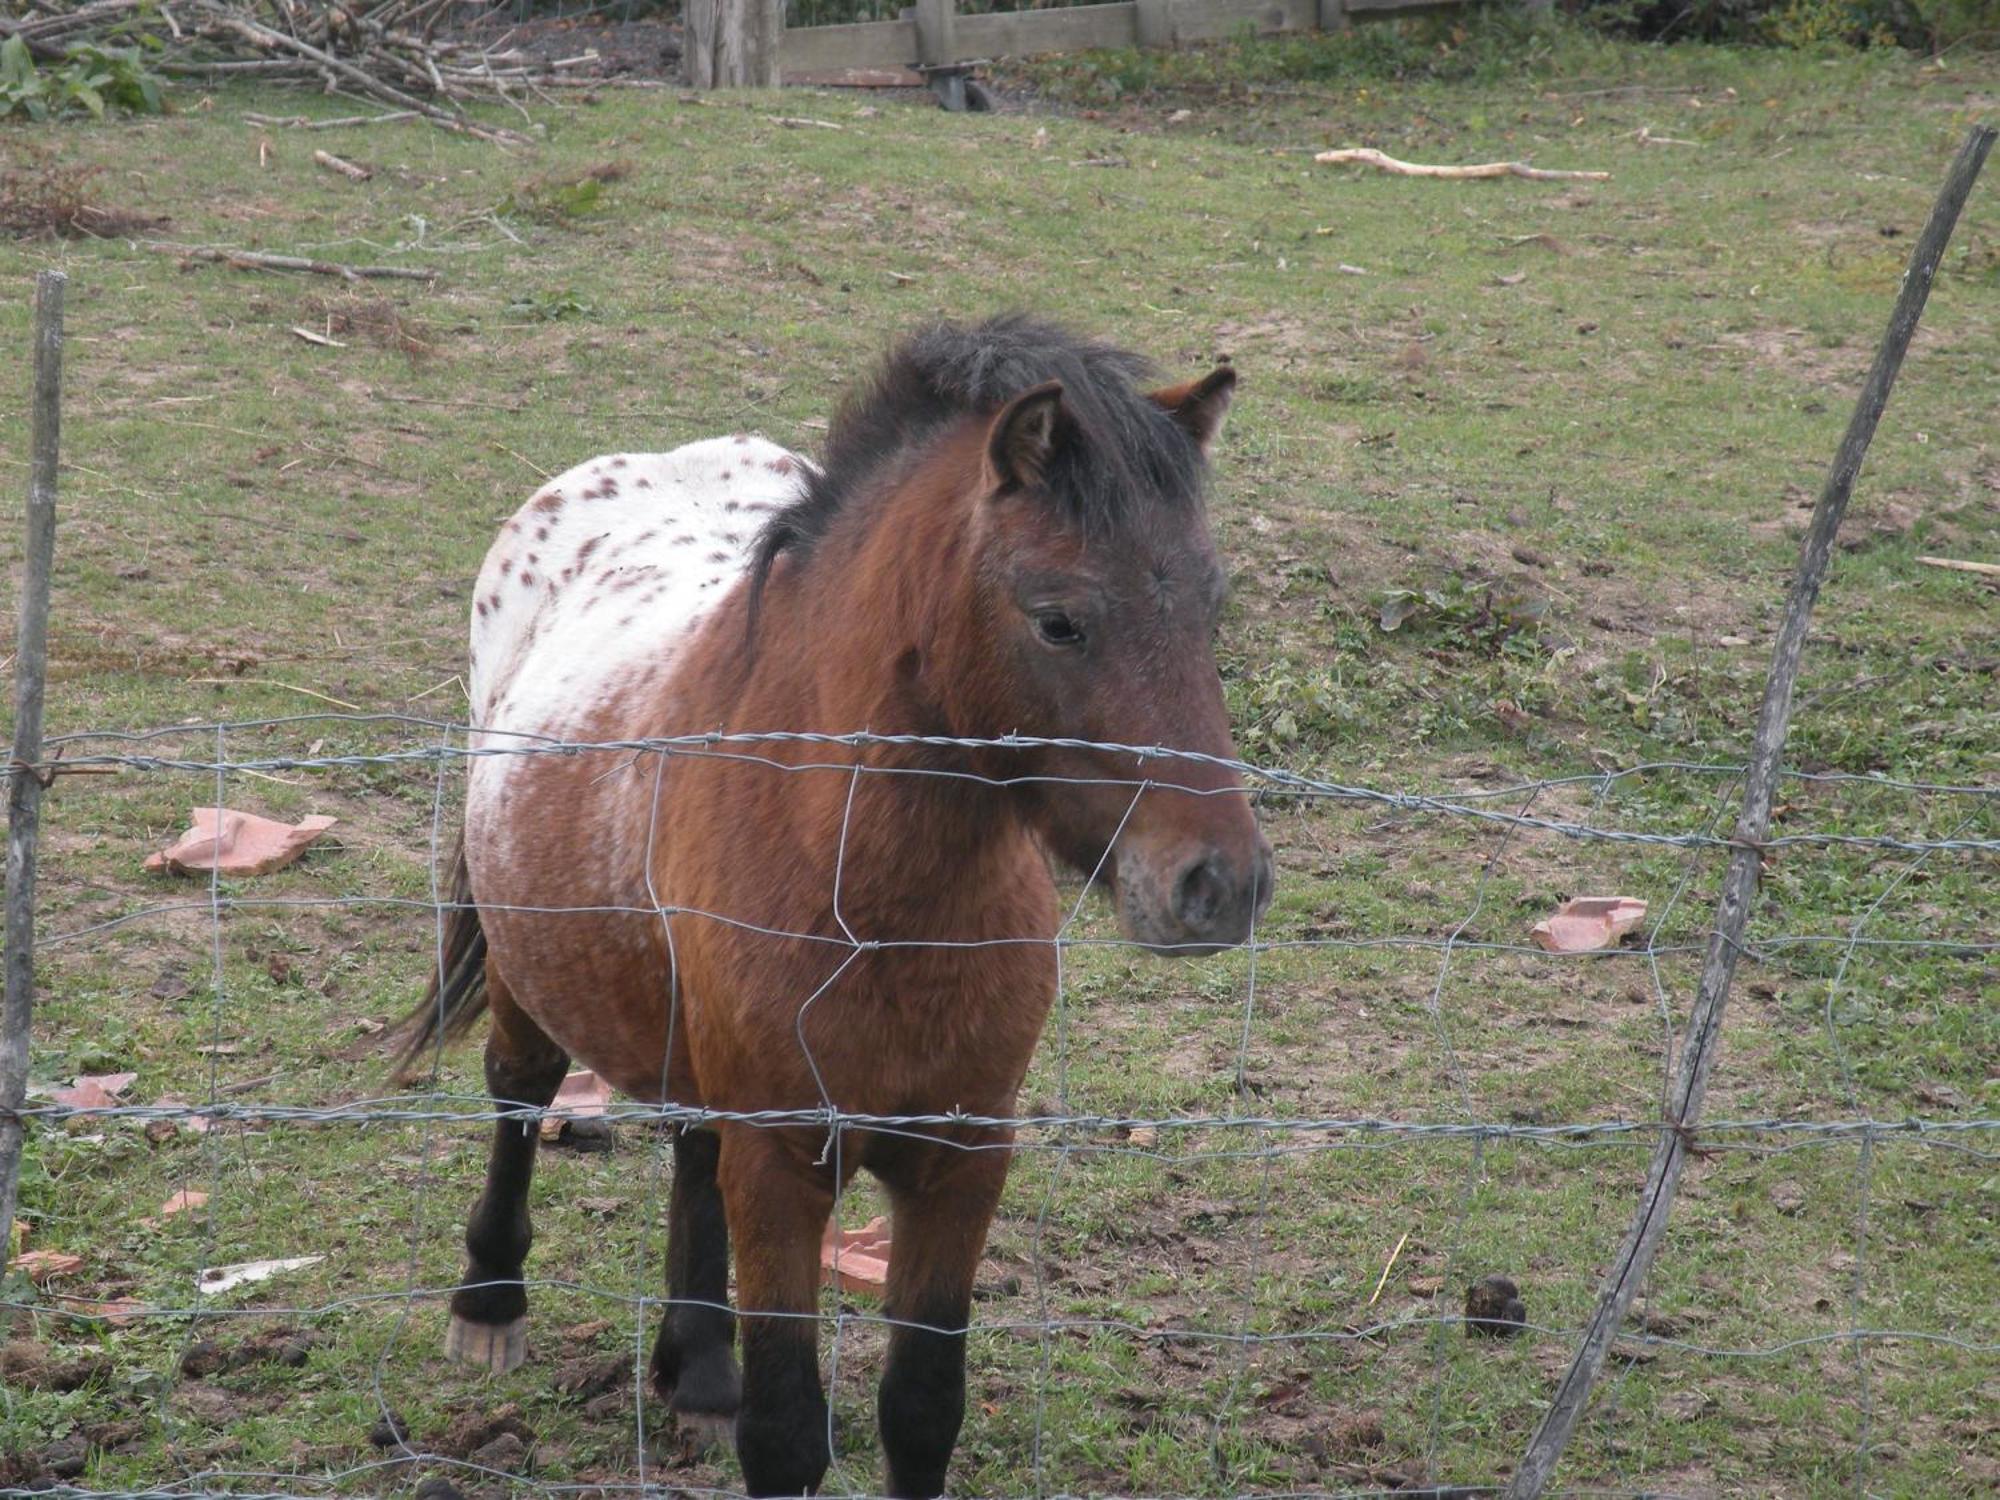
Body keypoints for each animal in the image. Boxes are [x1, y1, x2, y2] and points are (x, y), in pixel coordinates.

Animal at [404, 314, 1272, 1496]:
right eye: (1058, 621)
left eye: (1212, 608)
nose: (1219, 885)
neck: (877, 908)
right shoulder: (783, 1170)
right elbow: (784, 1430)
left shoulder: (961, 1164)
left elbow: (922, 1408)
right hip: (529, 974)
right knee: (519, 1090)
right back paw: (490, 1304)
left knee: (688, 1146)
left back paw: (697, 1364)